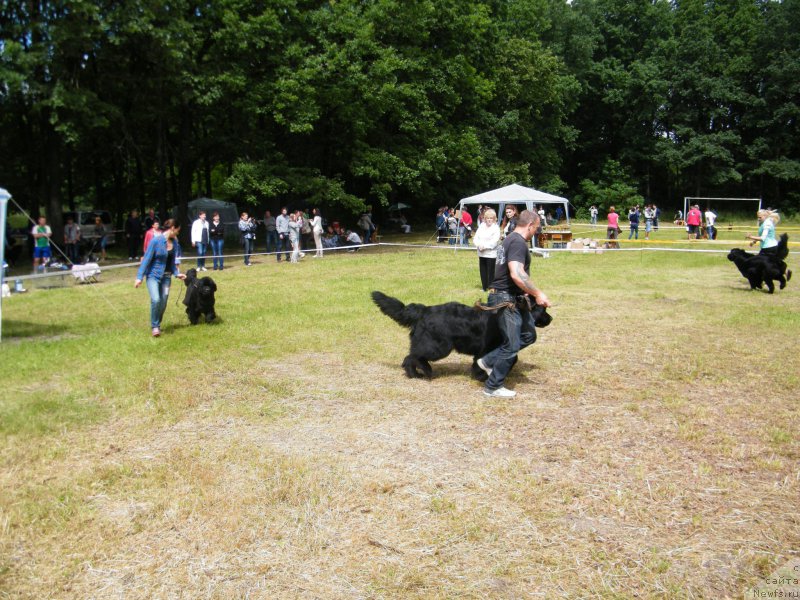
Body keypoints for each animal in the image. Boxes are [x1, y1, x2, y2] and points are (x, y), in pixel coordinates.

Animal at [374, 290, 552, 380]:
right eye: (543, 309)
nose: (550, 319)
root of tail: (424, 310)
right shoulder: (487, 347)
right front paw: (481, 376)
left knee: (412, 356)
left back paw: (416, 373)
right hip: (438, 346)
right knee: (413, 356)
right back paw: (419, 373)